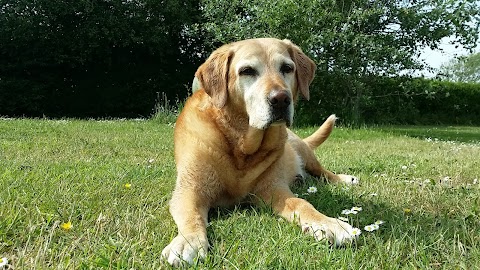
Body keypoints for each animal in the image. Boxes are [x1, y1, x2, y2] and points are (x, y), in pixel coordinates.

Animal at [163, 37, 358, 266]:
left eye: (287, 68)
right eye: (247, 71)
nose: (281, 99)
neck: (241, 145)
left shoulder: (273, 189)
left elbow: (302, 203)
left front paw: (328, 223)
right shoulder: (189, 190)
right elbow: (191, 215)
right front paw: (188, 241)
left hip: (303, 151)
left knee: (324, 173)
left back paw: (343, 179)